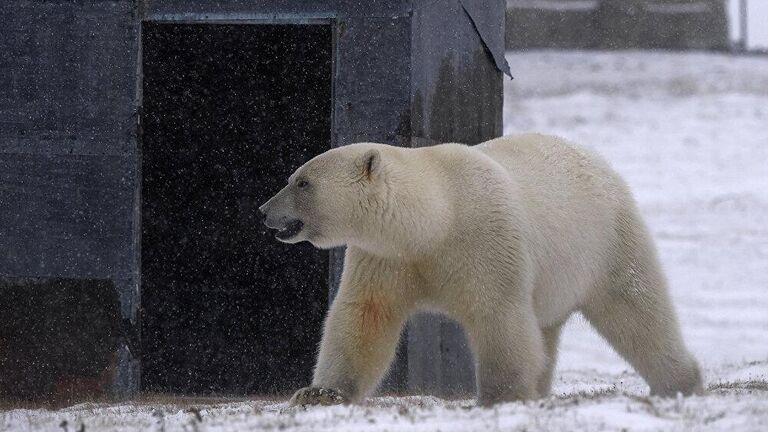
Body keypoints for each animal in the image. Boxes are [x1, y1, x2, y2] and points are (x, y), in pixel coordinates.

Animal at [260, 134, 704, 404]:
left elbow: (499, 315)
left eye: (302, 182)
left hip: (604, 239)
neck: (437, 218)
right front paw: (320, 393)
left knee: (637, 309)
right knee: (547, 331)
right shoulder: (386, 258)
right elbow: (364, 316)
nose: (264, 211)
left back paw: (680, 382)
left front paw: (500, 396)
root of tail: (598, 160)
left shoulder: (486, 239)